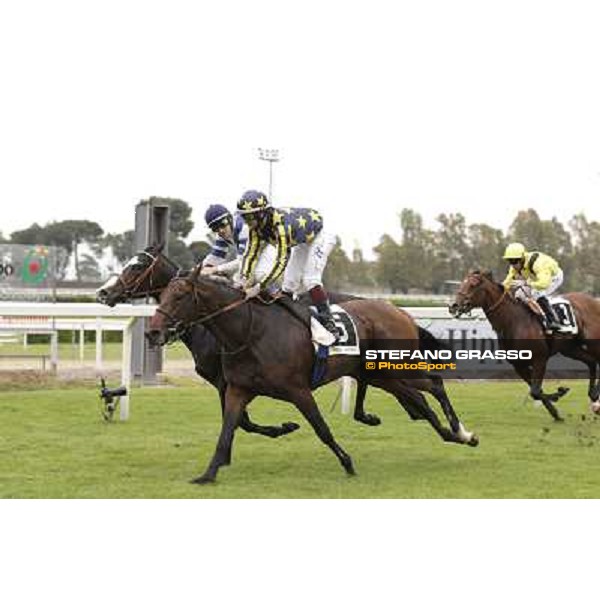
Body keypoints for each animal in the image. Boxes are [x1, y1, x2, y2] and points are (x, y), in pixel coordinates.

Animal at [145, 270, 478, 486]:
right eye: (161, 295)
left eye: (180, 296)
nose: (152, 332)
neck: (251, 332)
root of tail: (400, 311)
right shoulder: (237, 389)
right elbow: (228, 429)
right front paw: (209, 473)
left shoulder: (298, 390)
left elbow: (322, 429)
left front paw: (347, 462)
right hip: (383, 376)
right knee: (420, 398)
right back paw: (452, 435)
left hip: (395, 366)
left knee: (434, 384)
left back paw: (462, 432)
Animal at [448, 270, 600, 420]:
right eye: (462, 283)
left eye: (473, 285)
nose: (453, 306)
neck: (513, 322)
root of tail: (594, 301)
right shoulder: (518, 364)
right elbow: (536, 391)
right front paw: (556, 413)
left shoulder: (540, 359)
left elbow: (535, 391)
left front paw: (560, 393)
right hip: (569, 349)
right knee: (592, 362)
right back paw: (593, 394)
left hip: (591, 342)